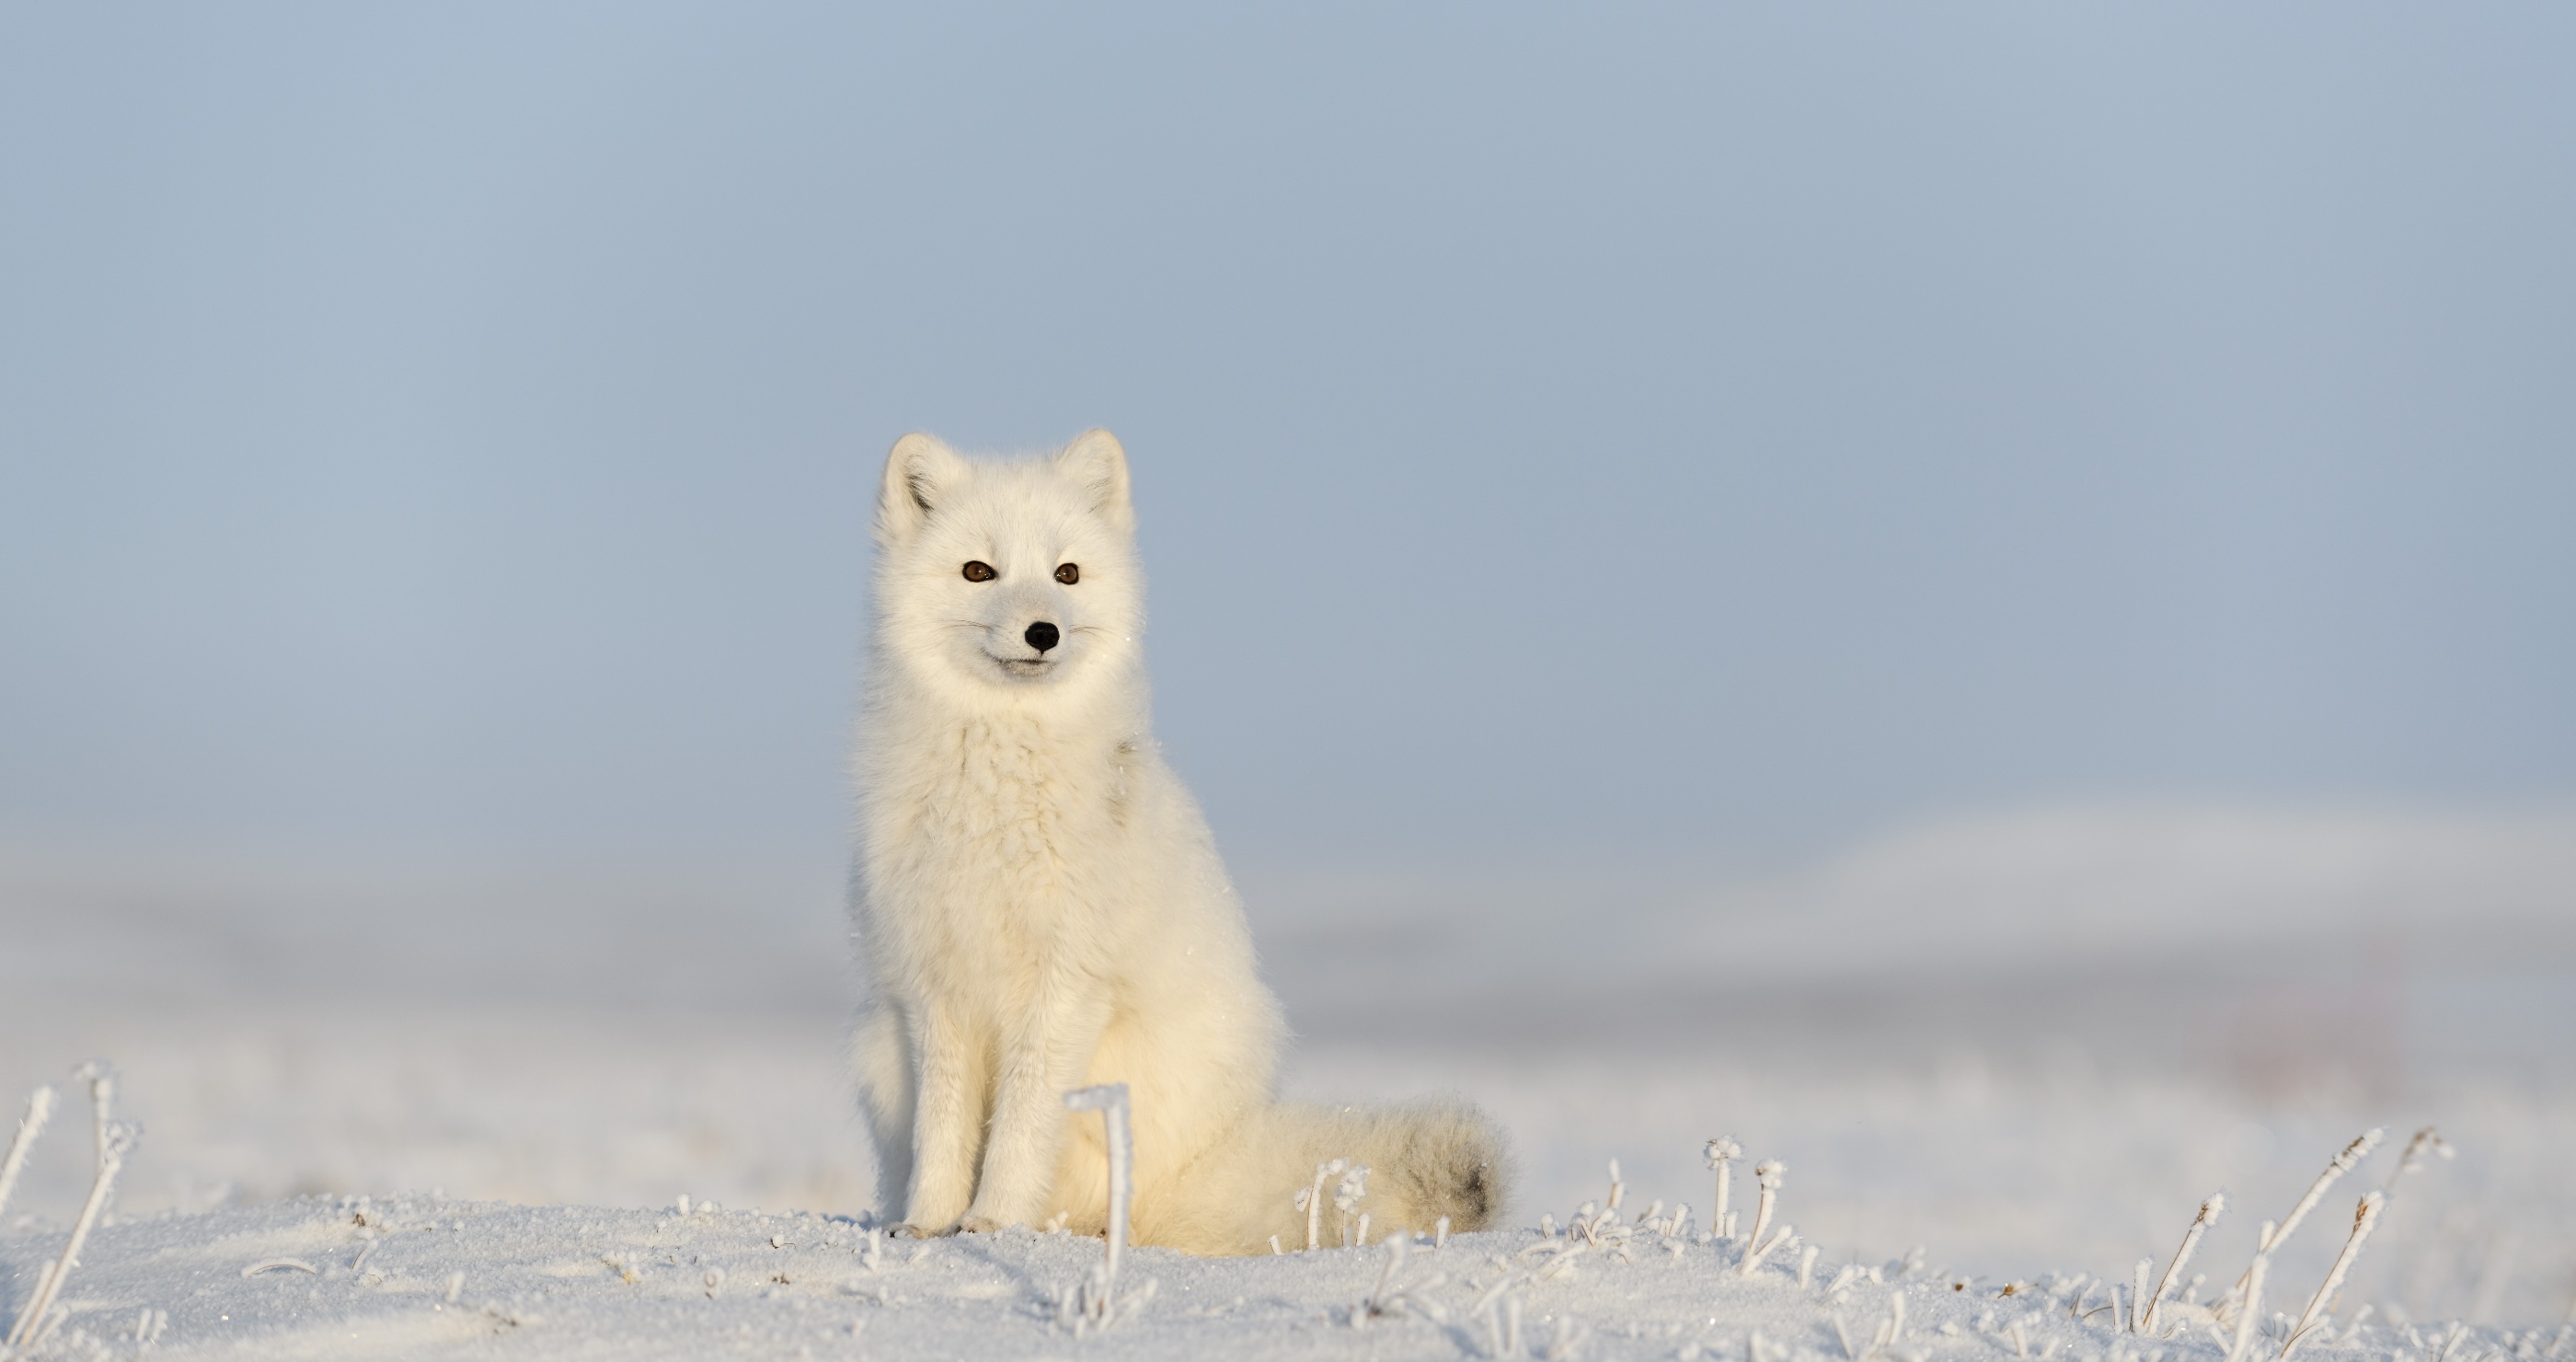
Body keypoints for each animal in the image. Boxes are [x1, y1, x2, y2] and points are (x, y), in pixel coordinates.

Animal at [847, 429, 1508, 1255]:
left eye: (1066, 573)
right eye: (978, 570)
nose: (1043, 632)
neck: (998, 794)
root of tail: (1208, 1164)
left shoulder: (1066, 982)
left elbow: (1022, 1123)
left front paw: (994, 1220)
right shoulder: (936, 984)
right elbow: (943, 1130)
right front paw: (928, 1223)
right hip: (876, 1049)